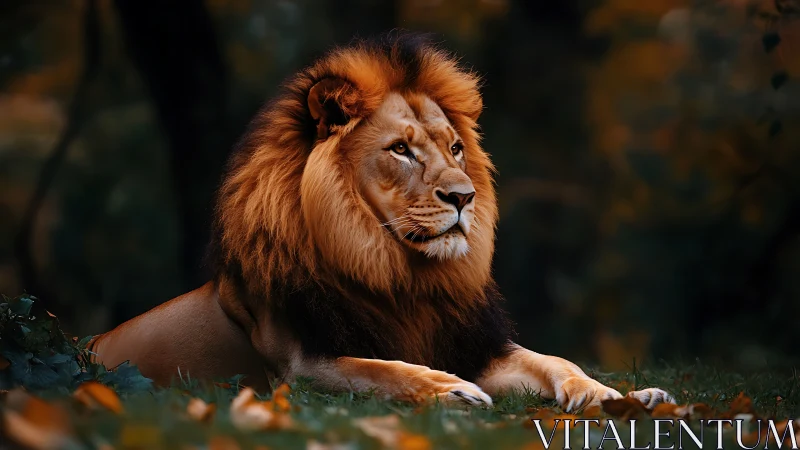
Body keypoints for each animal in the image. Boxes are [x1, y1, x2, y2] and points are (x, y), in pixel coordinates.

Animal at [90, 33, 673, 410]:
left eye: (455, 148)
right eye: (401, 150)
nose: (464, 197)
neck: (400, 275)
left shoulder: (477, 345)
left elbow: (557, 362)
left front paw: (620, 396)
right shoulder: (301, 367)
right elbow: (378, 371)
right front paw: (452, 390)